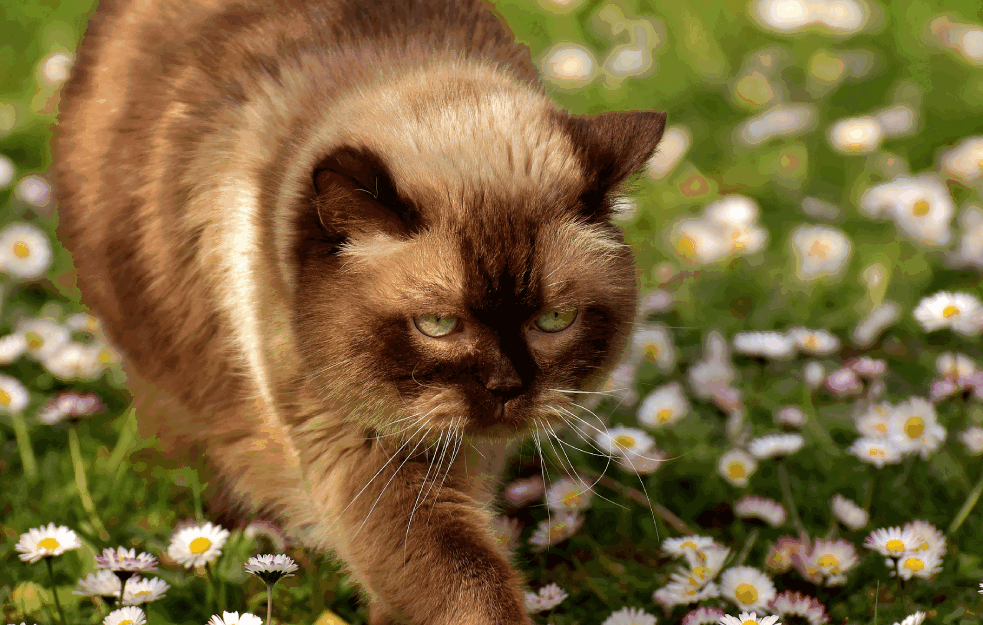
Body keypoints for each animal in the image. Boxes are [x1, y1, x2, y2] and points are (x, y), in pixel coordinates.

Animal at [53, 0, 668, 620]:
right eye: (438, 325)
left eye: (554, 321)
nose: (506, 387)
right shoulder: (373, 463)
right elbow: (471, 586)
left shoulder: (468, 453)